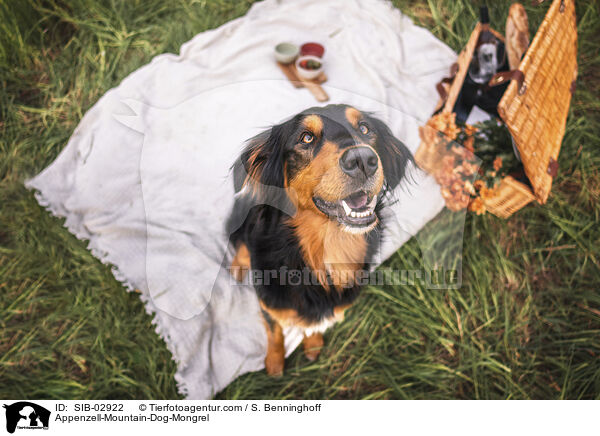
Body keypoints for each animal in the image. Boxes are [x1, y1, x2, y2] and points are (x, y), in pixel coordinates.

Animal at [226, 104, 412, 376]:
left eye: (365, 129)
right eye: (306, 138)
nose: (362, 159)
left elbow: (311, 325)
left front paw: (312, 344)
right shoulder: (269, 303)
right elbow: (274, 333)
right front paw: (274, 363)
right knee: (240, 244)